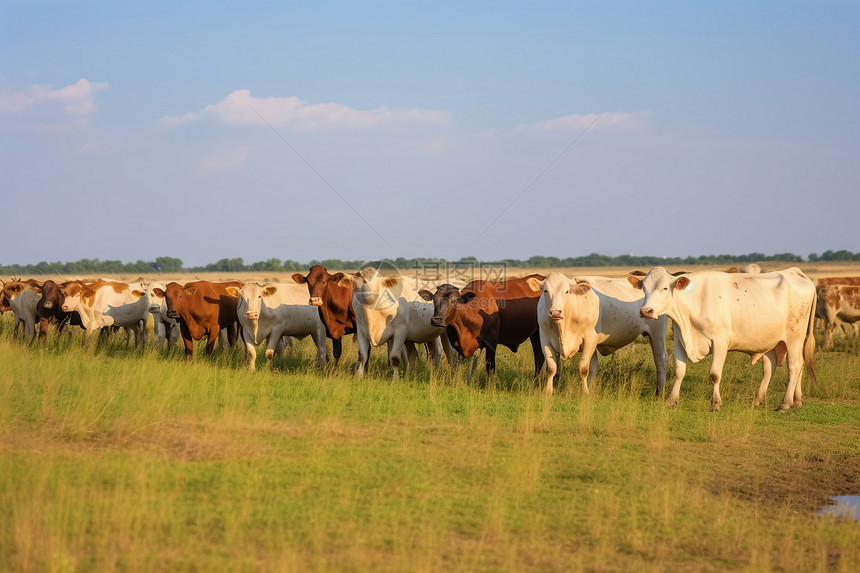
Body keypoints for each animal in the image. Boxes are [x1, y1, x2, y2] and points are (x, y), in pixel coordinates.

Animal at [416, 274, 544, 378]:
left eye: (454, 301)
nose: (436, 320)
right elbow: (463, 366)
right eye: (434, 299)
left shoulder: (491, 341)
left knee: (539, 358)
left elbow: (490, 367)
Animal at [532, 272, 672, 394]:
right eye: (546, 291)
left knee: (661, 360)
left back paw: (660, 392)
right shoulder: (545, 339)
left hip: (657, 334)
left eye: (567, 291)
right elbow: (551, 368)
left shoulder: (590, 339)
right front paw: (548, 391)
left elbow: (583, 368)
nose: (555, 312)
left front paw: (585, 392)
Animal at [628, 268, 816, 412]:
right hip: (771, 341)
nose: (646, 311)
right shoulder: (680, 340)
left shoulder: (720, 341)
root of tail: (795, 272)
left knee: (795, 366)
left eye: (665, 288)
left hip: (795, 337)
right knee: (771, 367)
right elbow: (680, 371)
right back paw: (772, 400)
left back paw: (786, 403)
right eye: (644, 288)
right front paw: (672, 399)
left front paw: (715, 403)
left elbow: (715, 374)